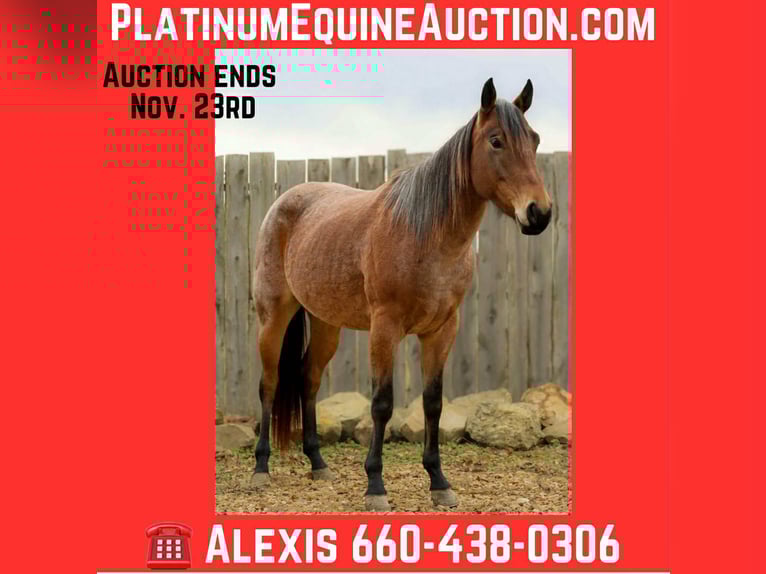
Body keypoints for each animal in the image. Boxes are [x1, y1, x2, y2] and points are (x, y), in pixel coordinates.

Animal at [251, 78, 552, 511]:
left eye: (535, 139)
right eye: (496, 141)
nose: (539, 213)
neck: (424, 233)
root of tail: (282, 203)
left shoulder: (442, 331)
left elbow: (433, 403)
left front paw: (439, 482)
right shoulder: (385, 328)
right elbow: (382, 403)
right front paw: (375, 485)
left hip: (326, 325)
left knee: (308, 379)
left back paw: (319, 463)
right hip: (273, 316)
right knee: (270, 383)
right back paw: (260, 468)